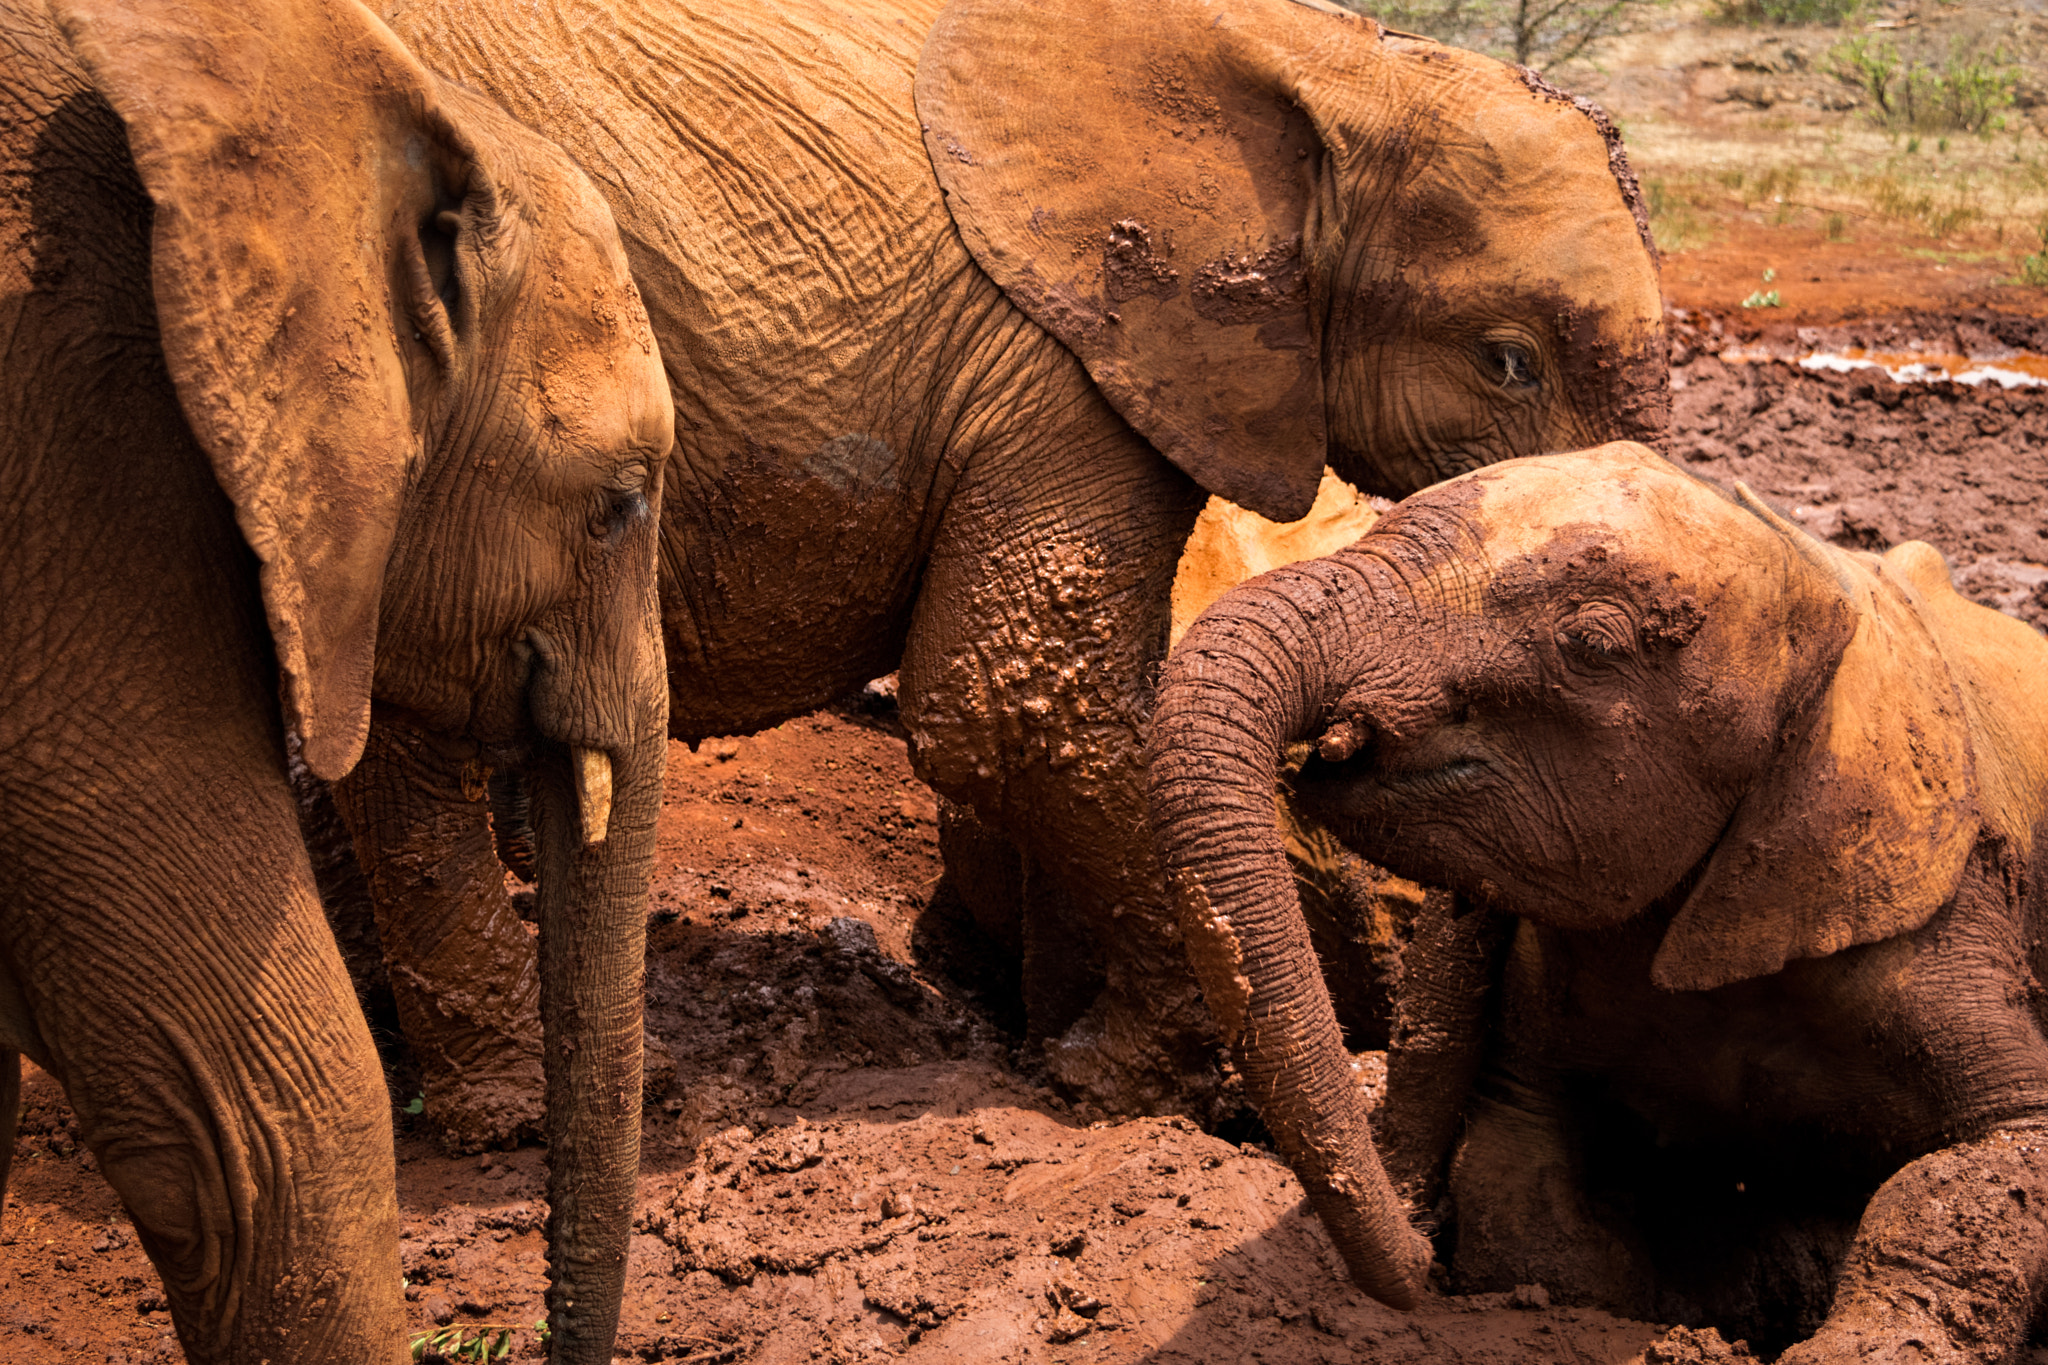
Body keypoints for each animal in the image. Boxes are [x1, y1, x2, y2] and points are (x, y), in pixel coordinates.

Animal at [335, 0, 1671, 1146]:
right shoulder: (1062, 360)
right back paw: (518, 1117)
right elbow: (1015, 704)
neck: (1323, 54)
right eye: (1505, 361)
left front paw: (1056, 1037)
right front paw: (1130, 1086)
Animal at [1146, 444, 2048, 1358]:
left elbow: (1994, 1158)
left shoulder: (1936, 916)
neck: (1825, 581)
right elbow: (1519, 1181)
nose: (1417, 1253)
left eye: (1591, 643)